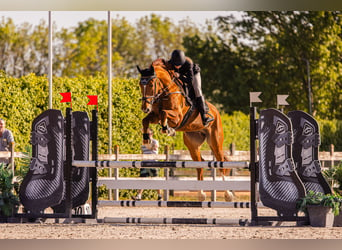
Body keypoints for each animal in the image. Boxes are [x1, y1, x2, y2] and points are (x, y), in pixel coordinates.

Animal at [138, 59, 234, 201]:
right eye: (140, 84)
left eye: (151, 84)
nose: (145, 108)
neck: (166, 92)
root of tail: (216, 111)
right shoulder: (154, 115)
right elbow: (146, 120)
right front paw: (146, 139)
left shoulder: (178, 117)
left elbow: (164, 114)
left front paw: (167, 129)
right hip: (192, 143)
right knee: (200, 164)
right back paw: (201, 194)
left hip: (215, 141)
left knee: (221, 162)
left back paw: (228, 194)